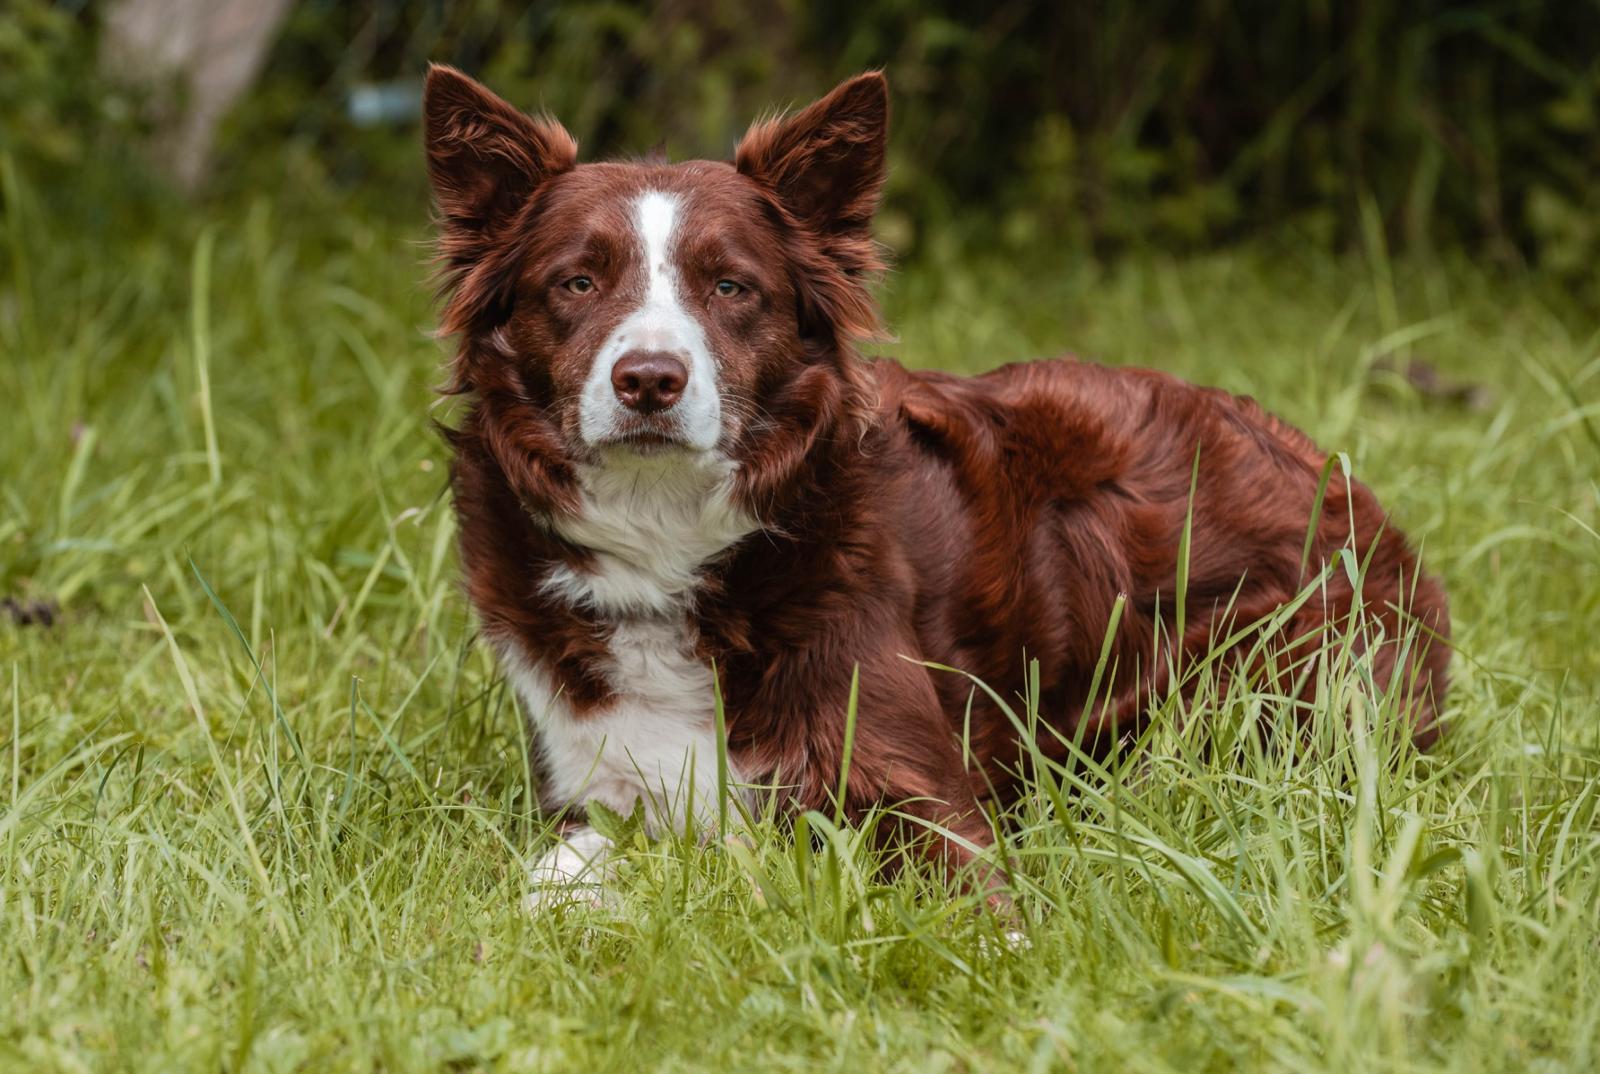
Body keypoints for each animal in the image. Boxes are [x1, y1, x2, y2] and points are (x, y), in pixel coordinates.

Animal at [423, 66, 1450, 908]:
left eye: (730, 287)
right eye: (577, 282)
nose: (648, 380)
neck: (673, 540)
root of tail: (1344, 482)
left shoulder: (905, 789)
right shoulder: (596, 794)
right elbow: (550, 883)